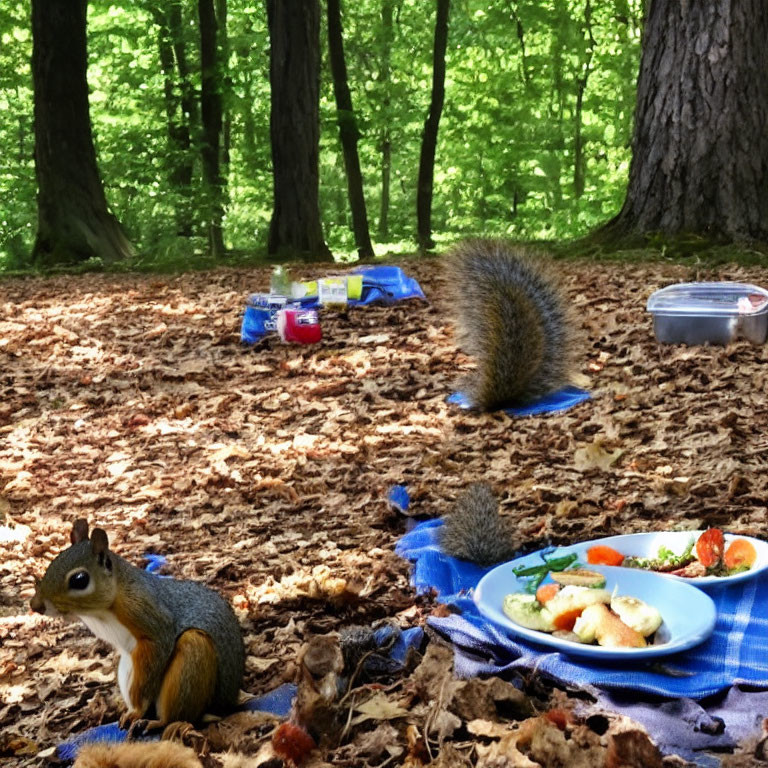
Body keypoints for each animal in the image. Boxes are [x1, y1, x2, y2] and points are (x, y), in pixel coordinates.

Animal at [30, 520, 243, 732]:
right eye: (52, 563)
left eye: (80, 579)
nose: (35, 605)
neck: (100, 612)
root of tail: (226, 704)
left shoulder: (144, 613)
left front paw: (138, 711)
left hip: (192, 658)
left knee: (179, 716)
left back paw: (156, 721)